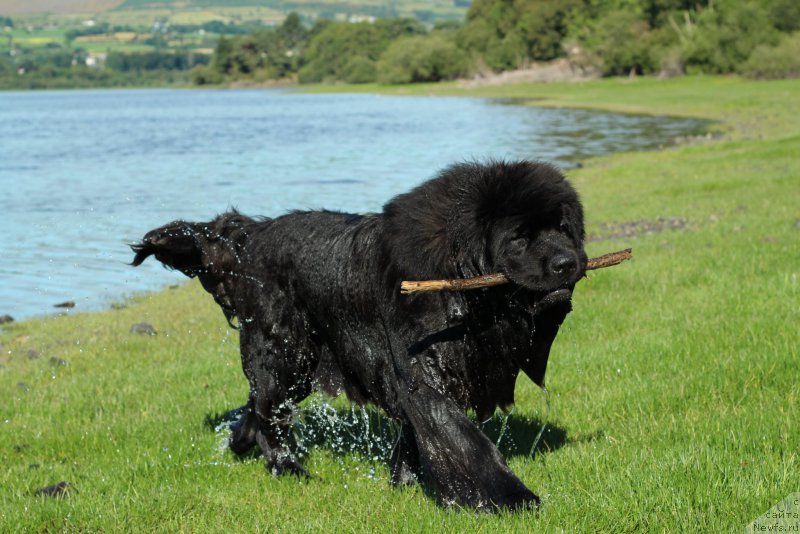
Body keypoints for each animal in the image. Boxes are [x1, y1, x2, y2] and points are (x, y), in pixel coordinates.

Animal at [133, 161, 588, 512]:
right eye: (519, 237)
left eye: (563, 228)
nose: (568, 262)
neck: (464, 286)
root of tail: (250, 237)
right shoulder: (422, 371)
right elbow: (461, 438)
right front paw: (512, 498)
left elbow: (416, 435)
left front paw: (403, 484)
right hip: (286, 352)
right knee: (269, 410)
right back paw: (288, 467)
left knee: (258, 404)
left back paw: (240, 441)